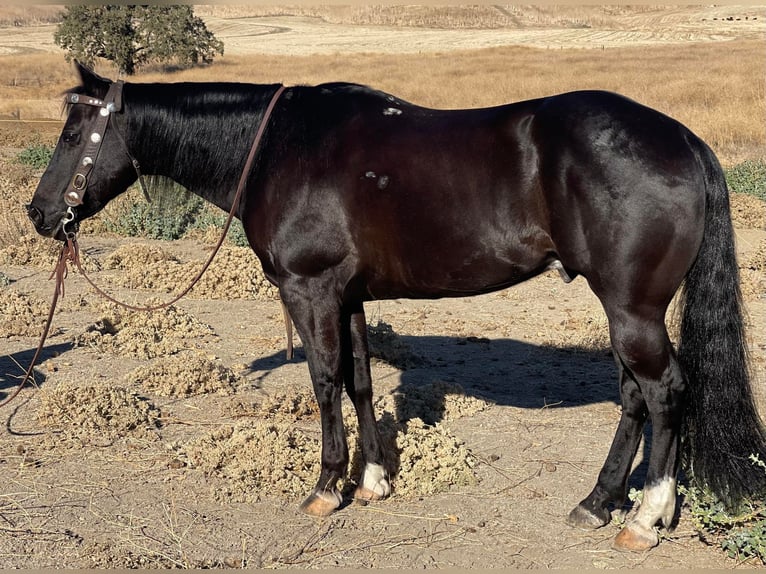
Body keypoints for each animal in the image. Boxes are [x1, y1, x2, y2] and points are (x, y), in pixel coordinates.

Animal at [27, 64, 764, 552]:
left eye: (72, 133)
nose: (38, 214)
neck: (279, 148)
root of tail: (682, 141)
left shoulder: (309, 290)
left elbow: (324, 383)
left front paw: (328, 486)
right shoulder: (348, 295)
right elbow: (359, 381)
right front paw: (375, 480)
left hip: (632, 307)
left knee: (663, 392)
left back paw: (645, 518)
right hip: (626, 309)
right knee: (636, 396)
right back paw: (597, 502)